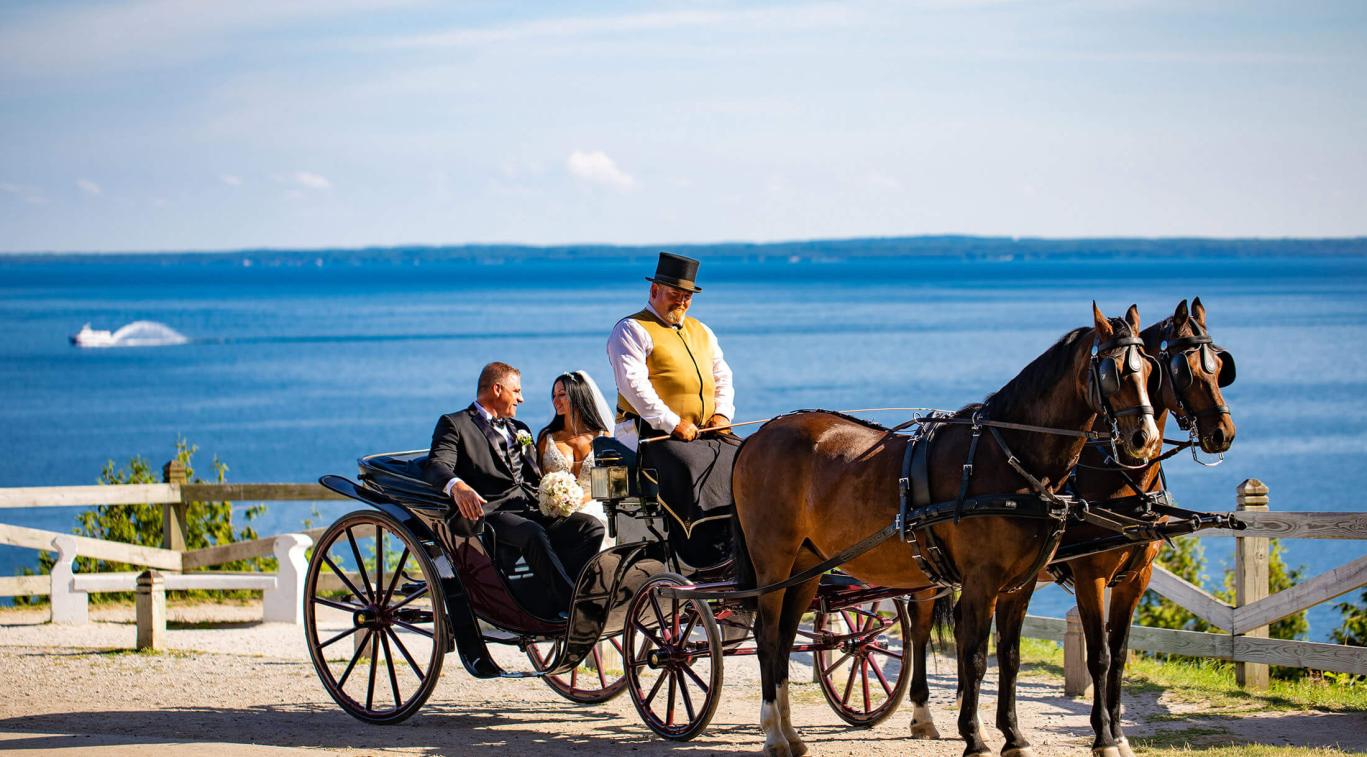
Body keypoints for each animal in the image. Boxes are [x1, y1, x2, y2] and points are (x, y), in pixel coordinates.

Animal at [738, 303, 1164, 748]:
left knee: (786, 638)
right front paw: (975, 738)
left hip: (807, 566)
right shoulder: (990, 578)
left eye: (1151, 369)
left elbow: (1008, 657)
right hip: (774, 561)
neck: (1009, 458)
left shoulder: (1021, 583)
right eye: (1113, 371)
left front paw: (1013, 737)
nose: (1144, 437)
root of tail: (758, 436)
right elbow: (976, 656)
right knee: (767, 636)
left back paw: (790, 731)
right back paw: (773, 731)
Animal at [1049, 297, 1235, 748]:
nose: (1223, 433)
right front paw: (1102, 736)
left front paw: (1118, 733)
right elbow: (1098, 655)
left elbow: (1118, 654)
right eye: (1184, 369)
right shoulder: (1089, 576)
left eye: (1220, 366)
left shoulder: (1136, 578)